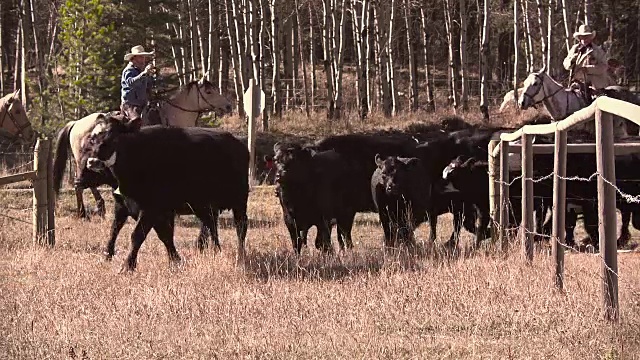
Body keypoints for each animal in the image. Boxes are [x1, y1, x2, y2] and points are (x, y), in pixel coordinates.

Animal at [52, 78, 232, 218]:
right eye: (208, 91)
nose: (229, 106)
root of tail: (76, 123)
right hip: (83, 160)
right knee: (80, 184)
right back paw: (84, 212)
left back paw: (98, 208)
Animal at [76, 116, 249, 272]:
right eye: (93, 138)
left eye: (113, 138)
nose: (92, 162)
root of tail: (239, 142)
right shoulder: (125, 206)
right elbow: (117, 230)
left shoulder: (152, 209)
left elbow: (138, 235)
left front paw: (128, 265)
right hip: (203, 206)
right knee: (211, 225)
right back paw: (215, 249)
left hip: (239, 201)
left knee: (240, 228)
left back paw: (241, 257)